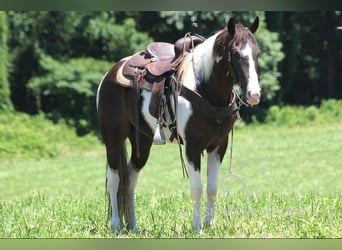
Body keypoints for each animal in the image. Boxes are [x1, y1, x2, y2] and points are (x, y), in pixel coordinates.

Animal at [96, 16, 262, 233]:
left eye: (257, 53)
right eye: (235, 53)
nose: (254, 94)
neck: (206, 89)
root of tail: (110, 73)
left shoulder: (219, 146)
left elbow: (212, 188)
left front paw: (209, 224)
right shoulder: (193, 146)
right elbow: (197, 189)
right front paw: (197, 227)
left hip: (142, 140)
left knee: (130, 179)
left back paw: (133, 226)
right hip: (113, 139)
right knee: (114, 180)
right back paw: (116, 225)